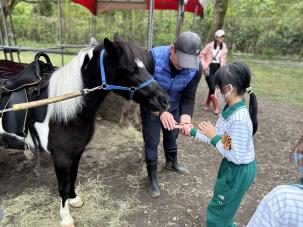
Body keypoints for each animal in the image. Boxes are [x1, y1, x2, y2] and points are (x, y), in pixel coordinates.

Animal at [0, 36, 169, 226]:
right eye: (129, 69)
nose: (164, 100)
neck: (63, 107)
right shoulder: (61, 157)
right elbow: (63, 184)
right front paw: (66, 217)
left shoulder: (77, 151)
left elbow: (72, 177)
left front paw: (74, 200)